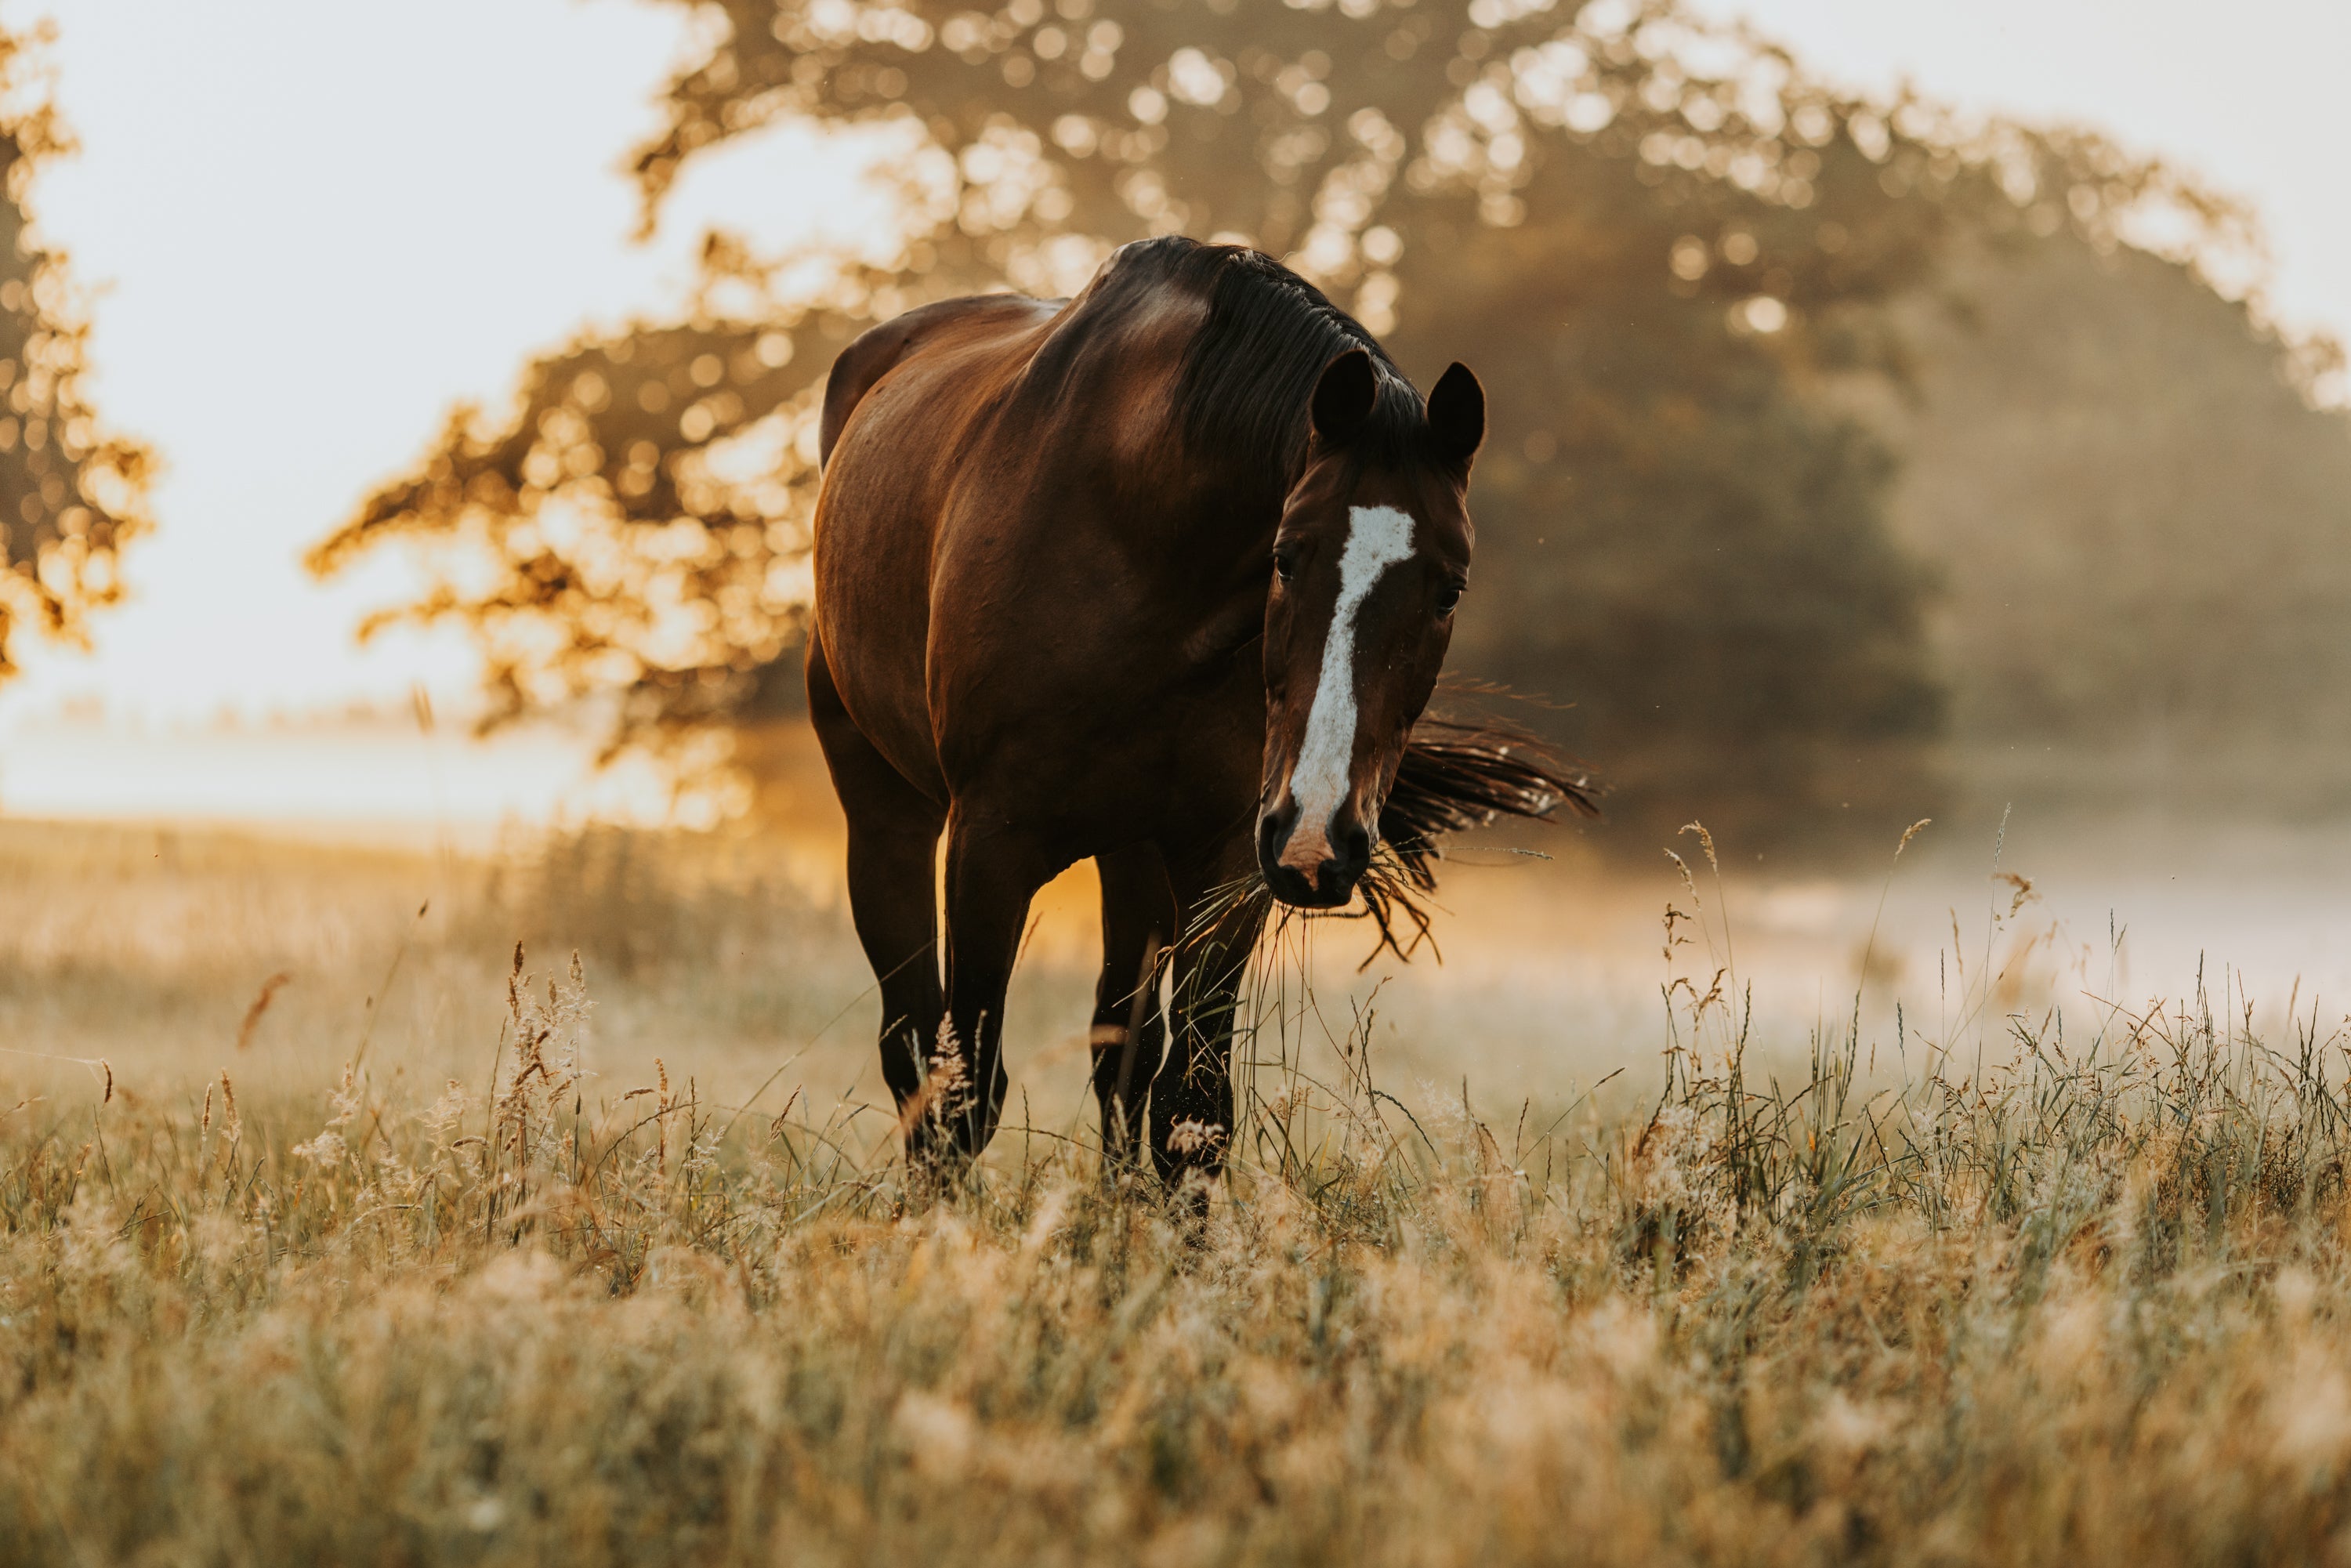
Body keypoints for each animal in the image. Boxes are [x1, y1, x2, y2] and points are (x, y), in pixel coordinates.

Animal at [809, 237, 1588, 1184]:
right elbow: (966, 1093)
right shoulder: (990, 842)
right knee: (914, 1046)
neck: (1137, 536)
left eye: (1450, 589)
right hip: (889, 815)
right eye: (1286, 556)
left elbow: (1193, 1110)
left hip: (1139, 858)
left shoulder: (1229, 858)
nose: (1322, 836)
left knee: (1122, 1054)